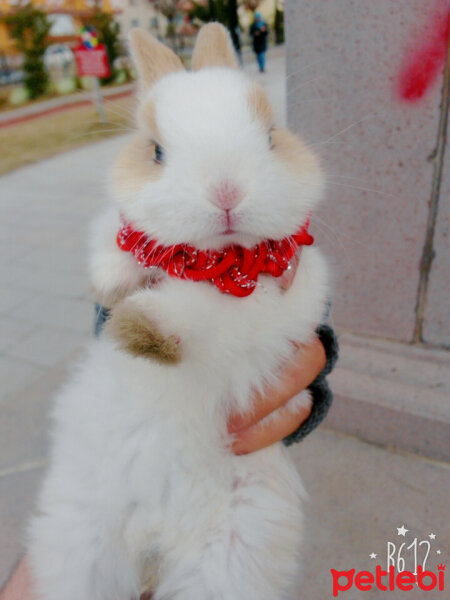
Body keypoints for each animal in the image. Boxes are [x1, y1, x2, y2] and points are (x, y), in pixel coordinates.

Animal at [29, 23, 330, 600]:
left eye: (271, 137)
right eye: (157, 152)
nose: (226, 191)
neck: (216, 259)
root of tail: (154, 533)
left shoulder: (274, 300)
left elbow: (198, 313)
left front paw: (139, 330)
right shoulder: (125, 231)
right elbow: (117, 239)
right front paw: (112, 287)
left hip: (229, 558)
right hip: (79, 532)